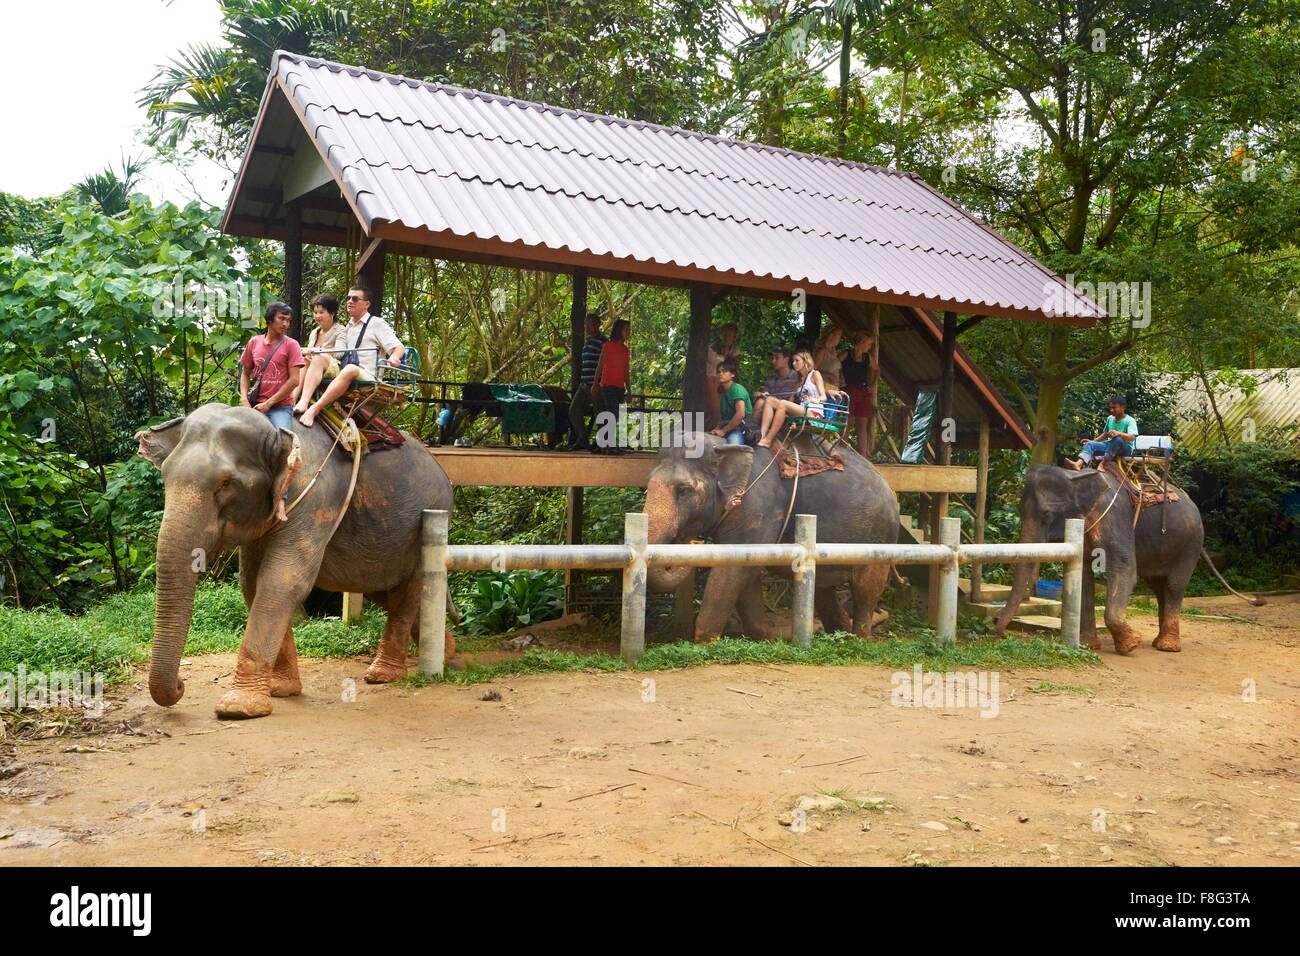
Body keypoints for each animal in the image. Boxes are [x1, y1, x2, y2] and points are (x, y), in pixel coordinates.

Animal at [135, 402, 455, 719]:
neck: (275, 431)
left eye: (226, 483)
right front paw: (281, 690)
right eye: (165, 475)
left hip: (429, 523)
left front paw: (238, 707)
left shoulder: (315, 496)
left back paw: (383, 674)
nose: (181, 683)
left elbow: (282, 581)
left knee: (408, 593)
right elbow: (252, 585)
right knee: (386, 591)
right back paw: (447, 650)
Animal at [644, 434, 900, 642]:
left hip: (880, 537)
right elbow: (746, 572)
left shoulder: (758, 506)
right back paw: (840, 635)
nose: (693, 541)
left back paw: (860, 640)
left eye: (683, 490)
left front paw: (703, 645)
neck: (725, 445)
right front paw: (766, 639)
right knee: (823, 588)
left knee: (866, 588)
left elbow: (731, 570)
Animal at [994, 464, 1260, 653]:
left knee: (1174, 585)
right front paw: (1088, 646)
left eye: (1047, 516)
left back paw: (1167, 646)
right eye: (1019, 512)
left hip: (1191, 544)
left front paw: (1130, 644)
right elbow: (1085, 577)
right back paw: (1158, 642)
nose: (999, 631)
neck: (1077, 476)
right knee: (1159, 588)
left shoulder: (1115, 515)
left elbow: (1123, 569)